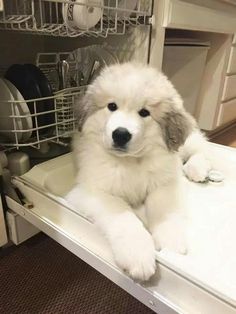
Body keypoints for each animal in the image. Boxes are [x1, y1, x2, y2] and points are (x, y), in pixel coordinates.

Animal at [66, 62, 210, 280]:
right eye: (112, 106)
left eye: (144, 112)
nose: (120, 134)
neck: (131, 162)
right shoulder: (93, 191)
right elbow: (125, 218)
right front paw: (138, 256)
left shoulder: (164, 183)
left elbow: (163, 211)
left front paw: (170, 243)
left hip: (183, 145)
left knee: (201, 147)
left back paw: (197, 169)